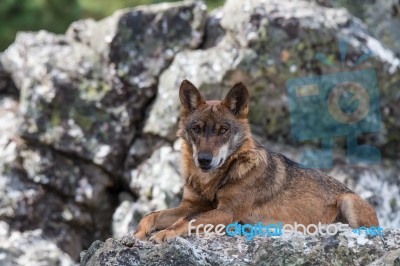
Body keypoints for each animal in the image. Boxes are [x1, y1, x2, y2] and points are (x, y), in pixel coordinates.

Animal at [134, 79, 378, 243]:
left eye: (223, 130)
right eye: (197, 129)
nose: (204, 160)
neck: (212, 181)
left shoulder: (227, 212)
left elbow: (187, 220)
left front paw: (164, 233)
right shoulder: (190, 205)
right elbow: (152, 214)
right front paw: (138, 233)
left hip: (348, 200)